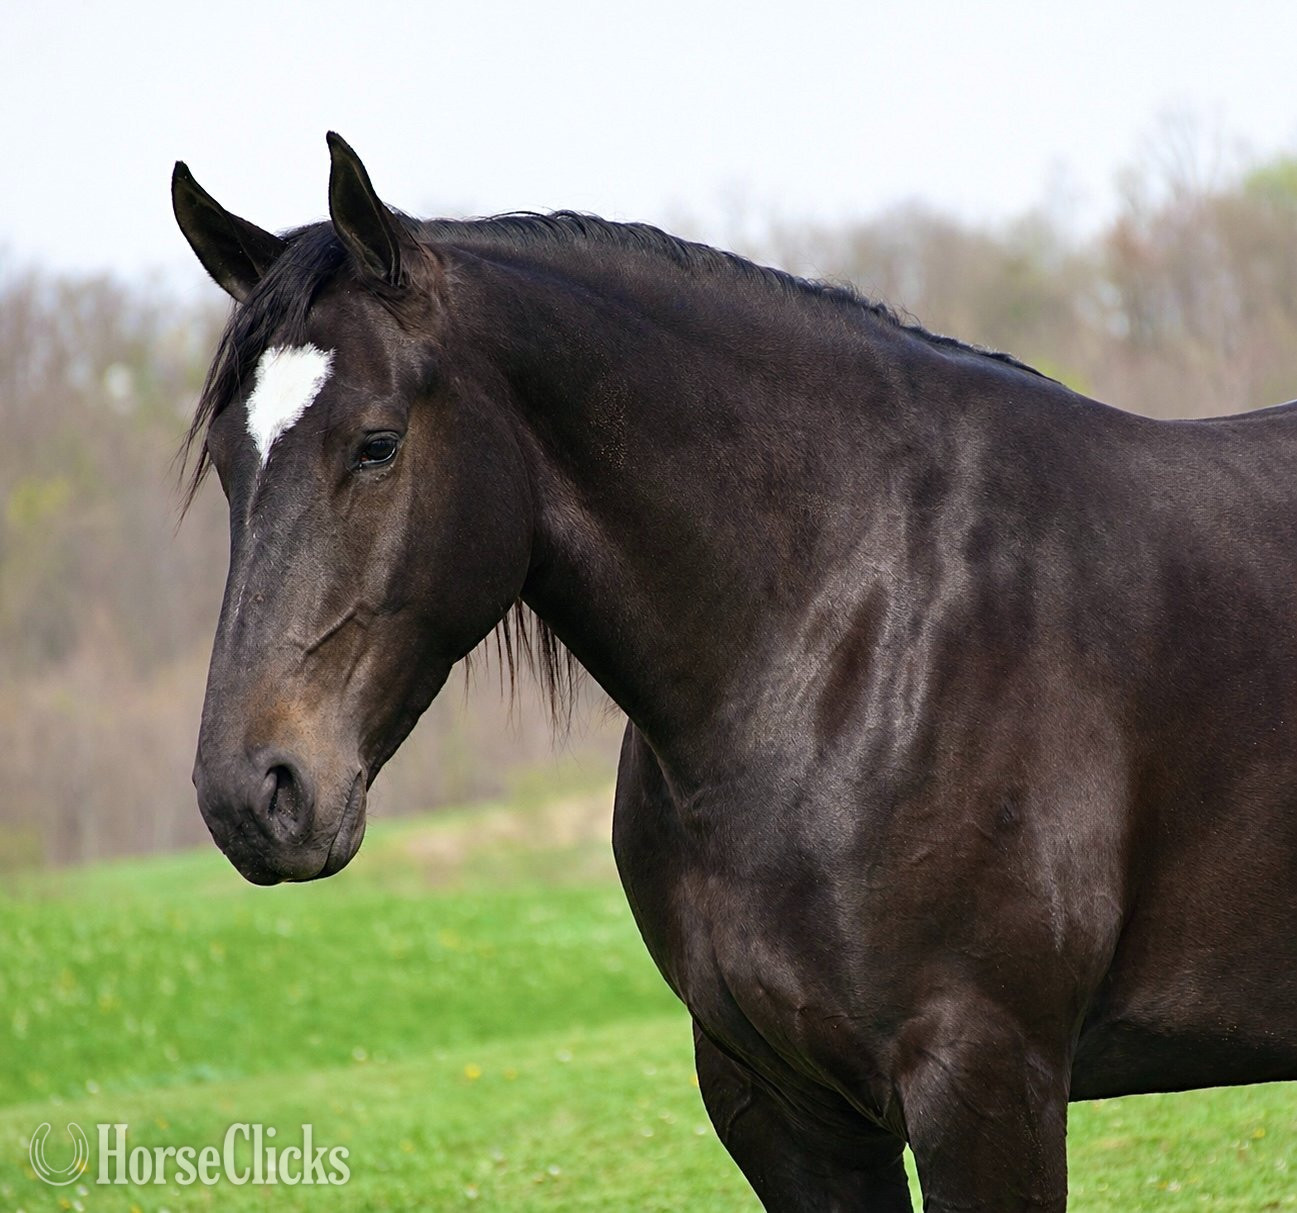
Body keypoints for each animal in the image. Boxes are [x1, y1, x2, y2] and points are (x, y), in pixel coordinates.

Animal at [173, 133, 1297, 1211]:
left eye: (376, 444)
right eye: (228, 460)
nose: (252, 793)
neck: (859, 632)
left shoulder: (986, 1081)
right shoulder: (779, 1102)